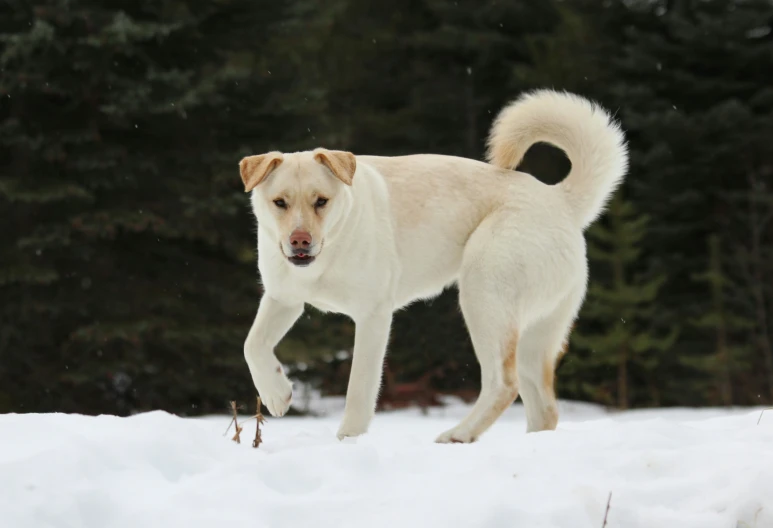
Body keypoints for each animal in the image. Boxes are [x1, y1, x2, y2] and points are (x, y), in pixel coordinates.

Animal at [240, 89, 628, 442]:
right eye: (280, 202)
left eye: (321, 201)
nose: (300, 242)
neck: (332, 247)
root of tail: (561, 200)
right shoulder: (284, 299)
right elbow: (252, 345)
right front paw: (278, 395)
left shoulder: (373, 316)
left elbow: (359, 388)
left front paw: (349, 440)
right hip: (536, 334)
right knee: (544, 408)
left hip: (483, 296)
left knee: (504, 384)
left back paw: (458, 435)